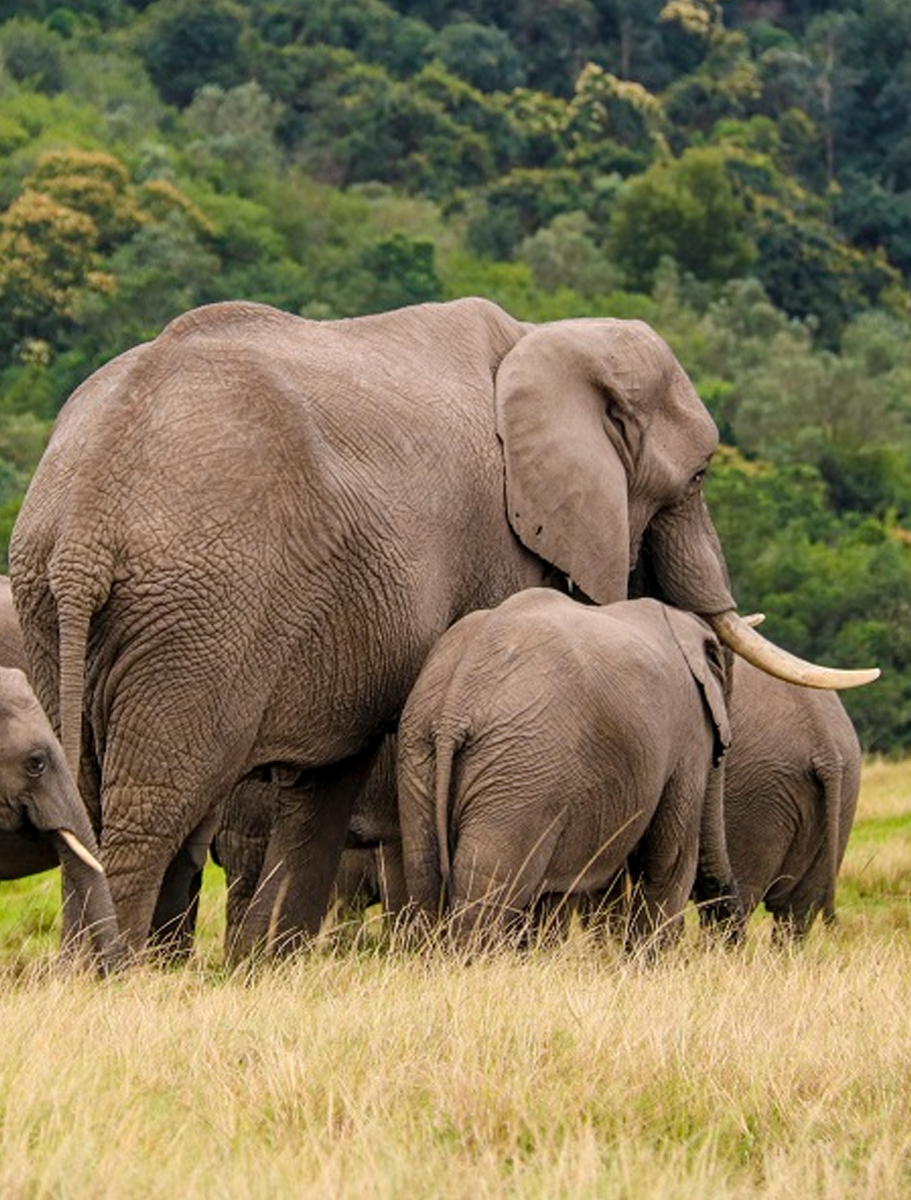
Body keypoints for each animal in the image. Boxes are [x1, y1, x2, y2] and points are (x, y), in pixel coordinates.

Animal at [396, 591, 741, 951]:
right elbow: (669, 862)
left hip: (421, 750)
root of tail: (455, 706)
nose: (731, 941)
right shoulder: (689, 737)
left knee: (424, 876)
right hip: (520, 772)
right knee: (488, 887)